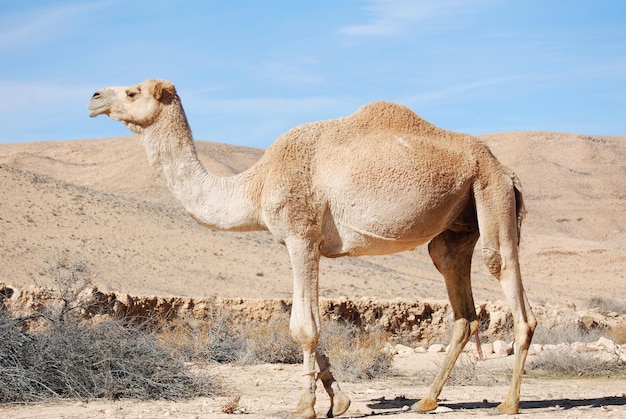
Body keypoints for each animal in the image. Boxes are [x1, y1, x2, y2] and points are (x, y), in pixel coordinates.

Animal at [88, 79, 536, 419]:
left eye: (132, 91)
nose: (93, 98)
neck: (256, 184)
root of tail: (507, 170)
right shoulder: (306, 244)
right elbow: (312, 323)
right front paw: (341, 400)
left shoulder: (301, 236)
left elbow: (303, 326)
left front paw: (305, 406)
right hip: (460, 220)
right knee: (458, 295)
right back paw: (426, 401)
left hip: (491, 193)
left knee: (505, 275)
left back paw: (509, 403)